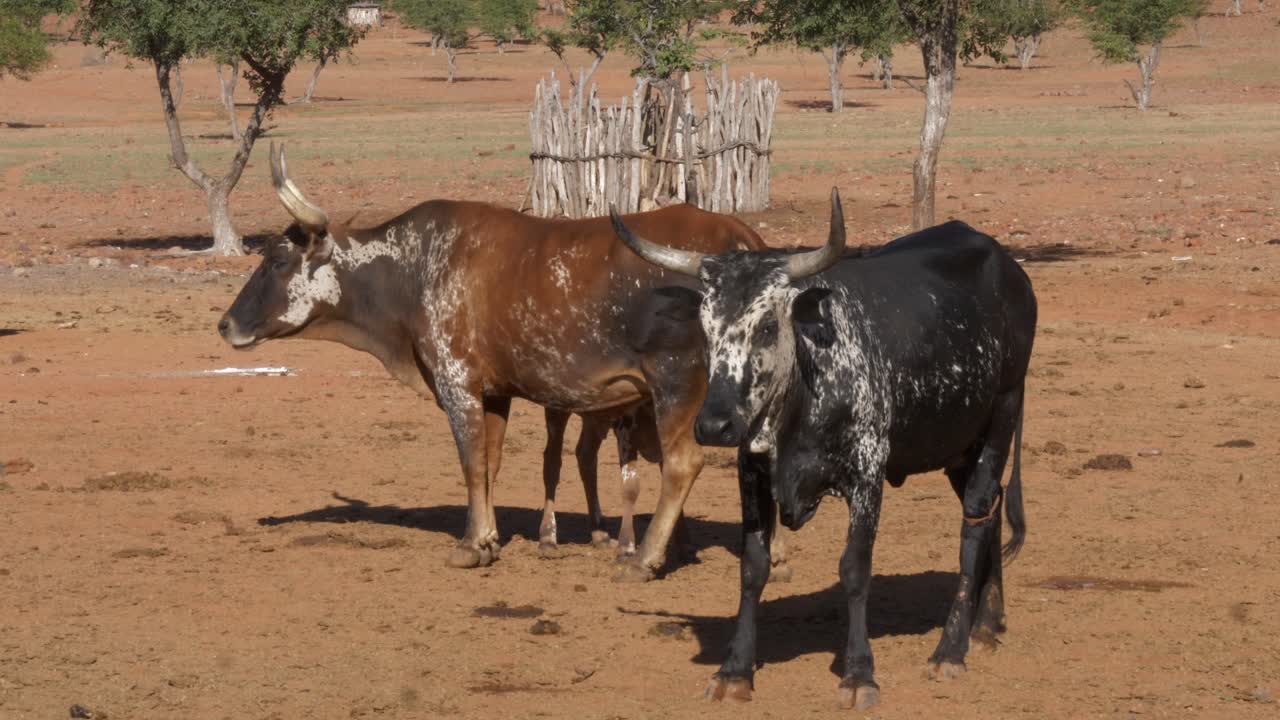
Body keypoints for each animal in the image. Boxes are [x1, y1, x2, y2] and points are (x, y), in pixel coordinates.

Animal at [217, 143, 788, 580]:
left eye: (277, 260)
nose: (225, 324)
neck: (413, 267)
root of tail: (741, 238)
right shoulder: (494, 394)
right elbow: (489, 464)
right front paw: (488, 537)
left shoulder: (457, 384)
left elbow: (470, 462)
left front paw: (473, 546)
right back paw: (773, 556)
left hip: (676, 387)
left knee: (682, 464)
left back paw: (644, 558)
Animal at [610, 188, 1036, 708]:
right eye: (705, 330)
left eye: (767, 327)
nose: (714, 425)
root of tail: (1008, 267)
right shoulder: (752, 471)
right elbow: (753, 567)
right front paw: (735, 670)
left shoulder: (868, 472)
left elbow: (854, 568)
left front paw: (858, 674)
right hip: (957, 442)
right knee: (992, 510)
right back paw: (987, 625)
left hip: (1002, 414)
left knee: (975, 520)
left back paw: (951, 649)